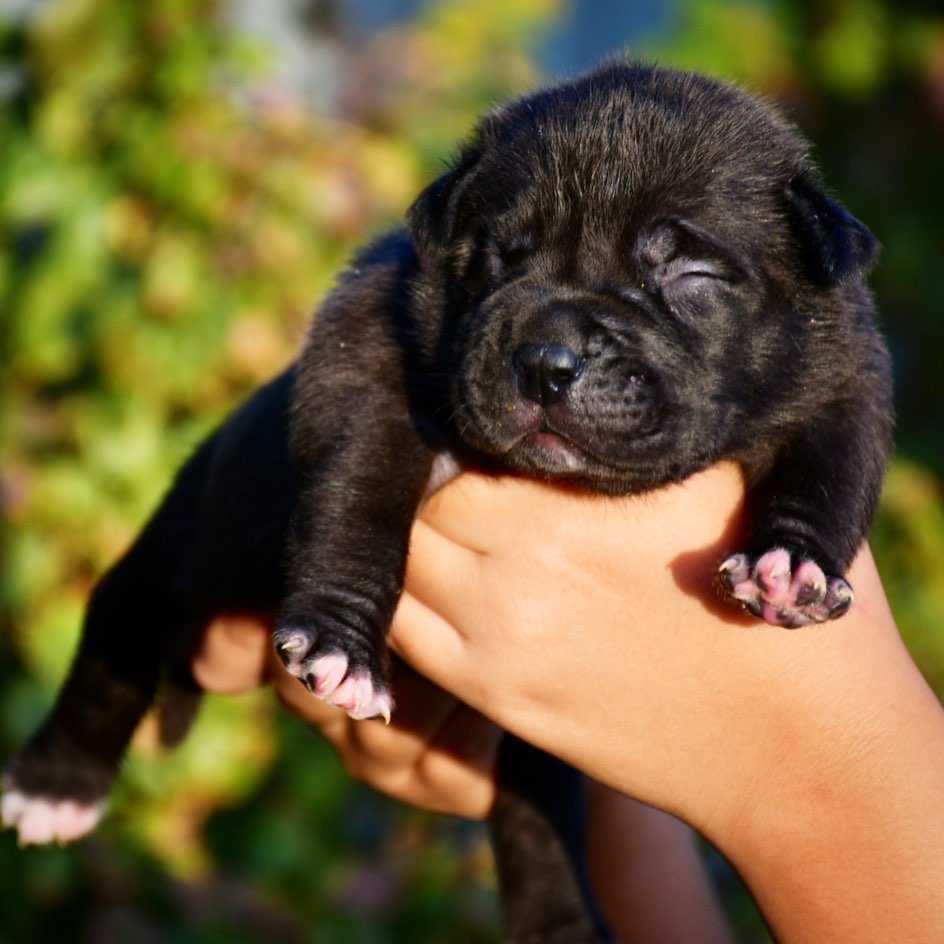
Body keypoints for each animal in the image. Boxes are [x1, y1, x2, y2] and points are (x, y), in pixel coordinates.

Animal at [1, 62, 892, 940]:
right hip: (192, 538)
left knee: (539, 818)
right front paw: (341, 643)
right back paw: (57, 783)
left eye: (690, 275)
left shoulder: (844, 372)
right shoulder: (368, 380)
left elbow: (829, 469)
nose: (547, 361)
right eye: (499, 257)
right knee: (120, 619)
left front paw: (793, 562)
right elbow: (359, 508)